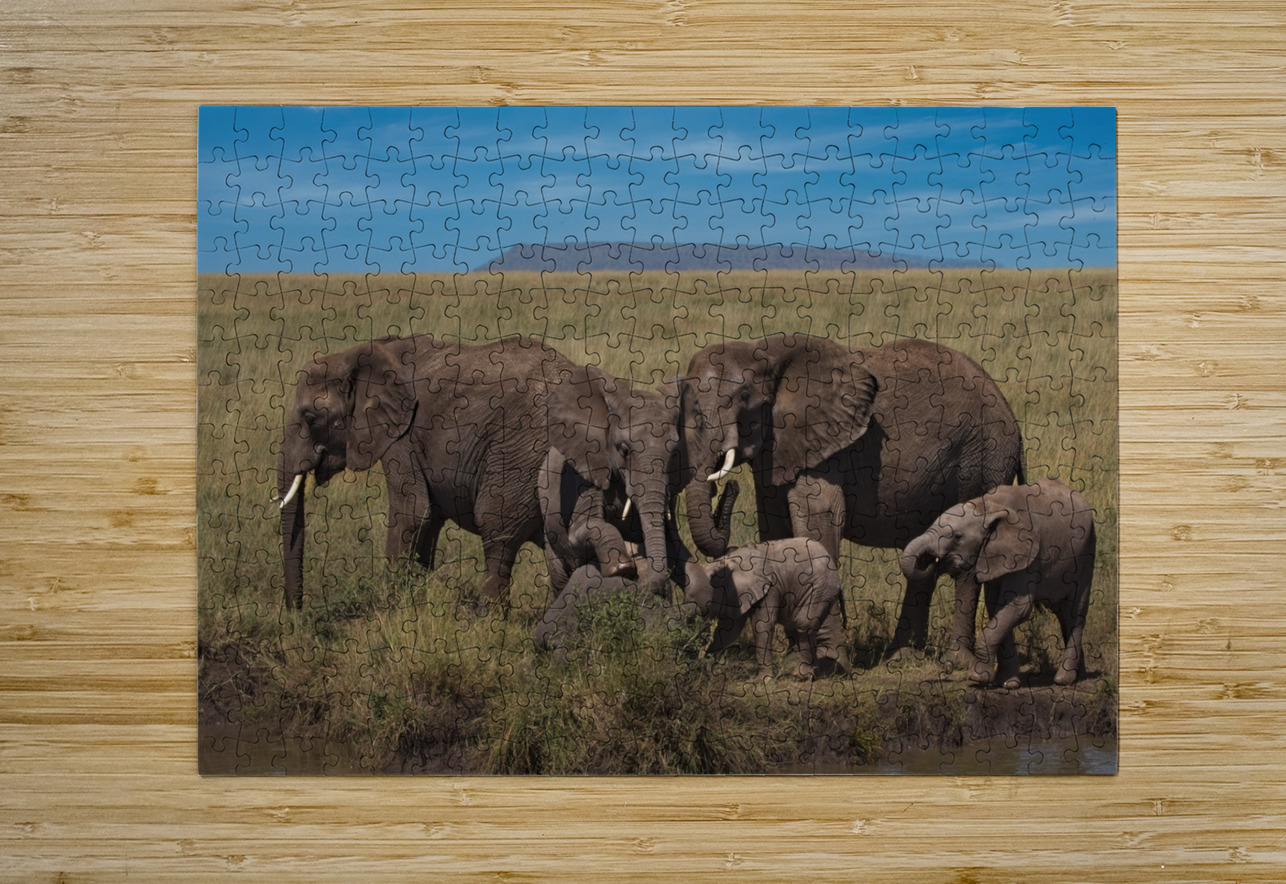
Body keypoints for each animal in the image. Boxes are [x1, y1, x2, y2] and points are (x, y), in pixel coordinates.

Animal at [276, 334, 579, 609]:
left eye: (311, 418)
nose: (296, 614)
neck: (360, 354)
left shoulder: (402, 436)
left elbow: (411, 513)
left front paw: (390, 607)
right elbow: (430, 518)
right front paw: (417, 599)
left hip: (519, 452)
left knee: (498, 532)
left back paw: (487, 617)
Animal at [680, 537, 844, 679]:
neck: (733, 560)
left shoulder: (771, 588)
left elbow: (762, 625)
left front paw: (763, 680)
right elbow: (729, 630)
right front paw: (708, 668)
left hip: (820, 588)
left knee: (804, 623)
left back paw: (802, 676)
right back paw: (814, 674)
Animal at [900, 478, 1096, 689]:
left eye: (958, 536)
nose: (931, 560)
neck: (986, 506)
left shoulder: (1027, 556)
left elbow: (1018, 608)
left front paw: (977, 678)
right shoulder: (991, 558)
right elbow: (996, 608)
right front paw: (1008, 683)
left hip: (1086, 554)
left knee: (1075, 613)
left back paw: (1064, 680)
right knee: (1064, 616)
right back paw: (1079, 676)